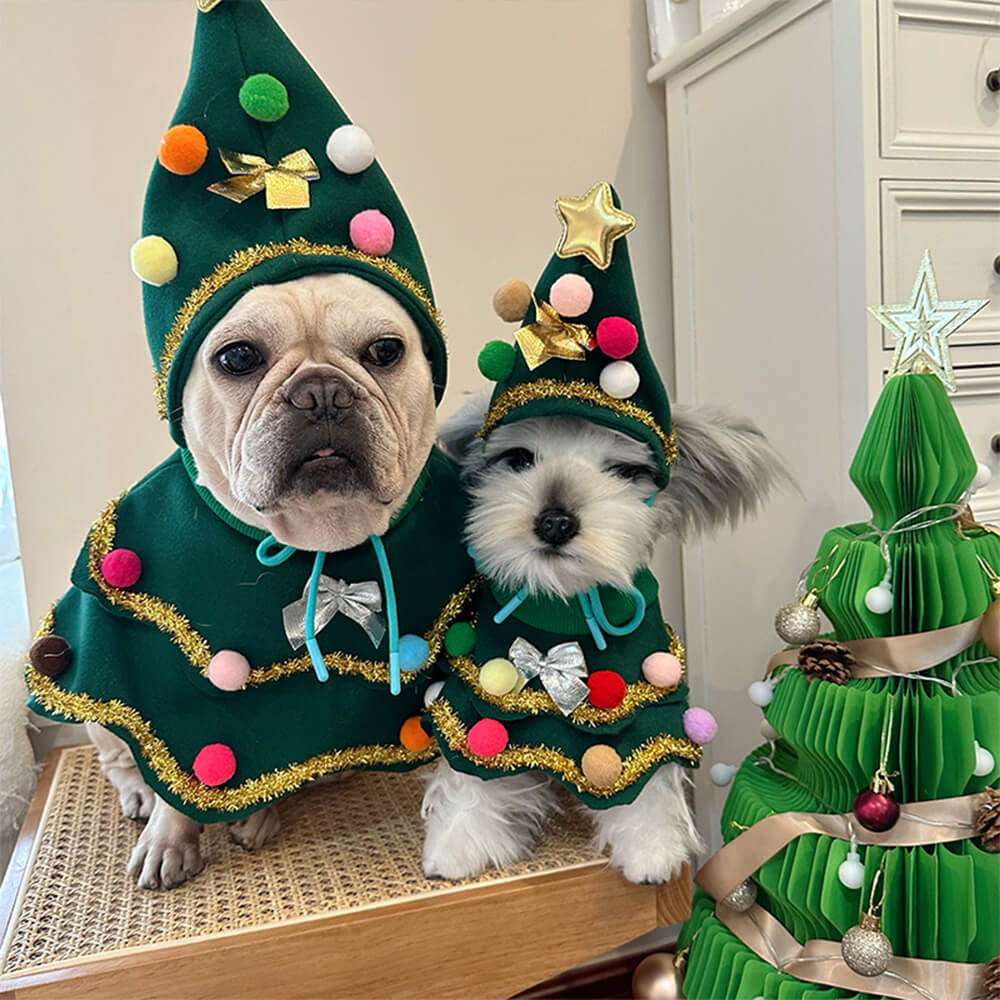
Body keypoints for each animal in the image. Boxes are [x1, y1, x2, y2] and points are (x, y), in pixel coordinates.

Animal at [418, 398, 784, 884]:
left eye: (625, 471)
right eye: (518, 459)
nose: (555, 522)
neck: (563, 609)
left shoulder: (648, 708)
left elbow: (647, 776)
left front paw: (652, 851)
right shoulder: (478, 702)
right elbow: (469, 773)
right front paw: (457, 843)